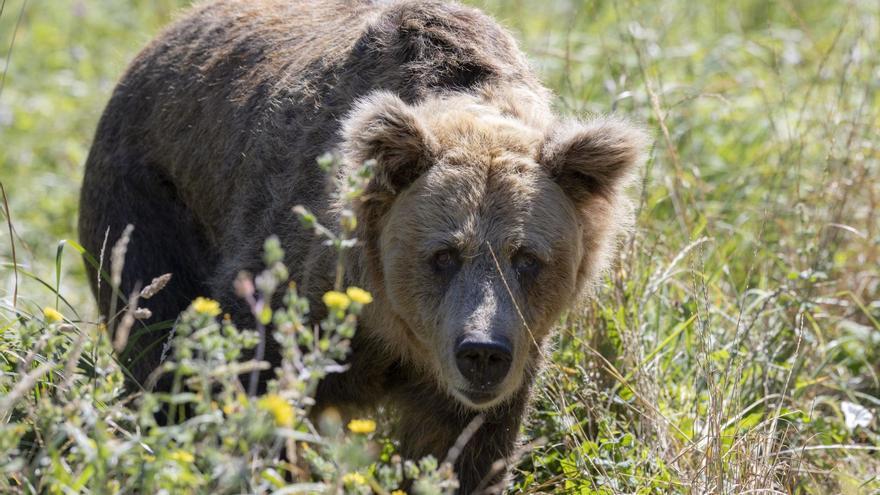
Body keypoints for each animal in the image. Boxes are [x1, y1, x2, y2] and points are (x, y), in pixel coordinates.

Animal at [77, 1, 648, 494]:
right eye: (444, 255)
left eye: (526, 258)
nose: (482, 352)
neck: (391, 326)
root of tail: (162, 36)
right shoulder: (294, 273)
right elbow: (245, 382)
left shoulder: (510, 354)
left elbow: (466, 447)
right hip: (147, 206)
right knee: (156, 342)